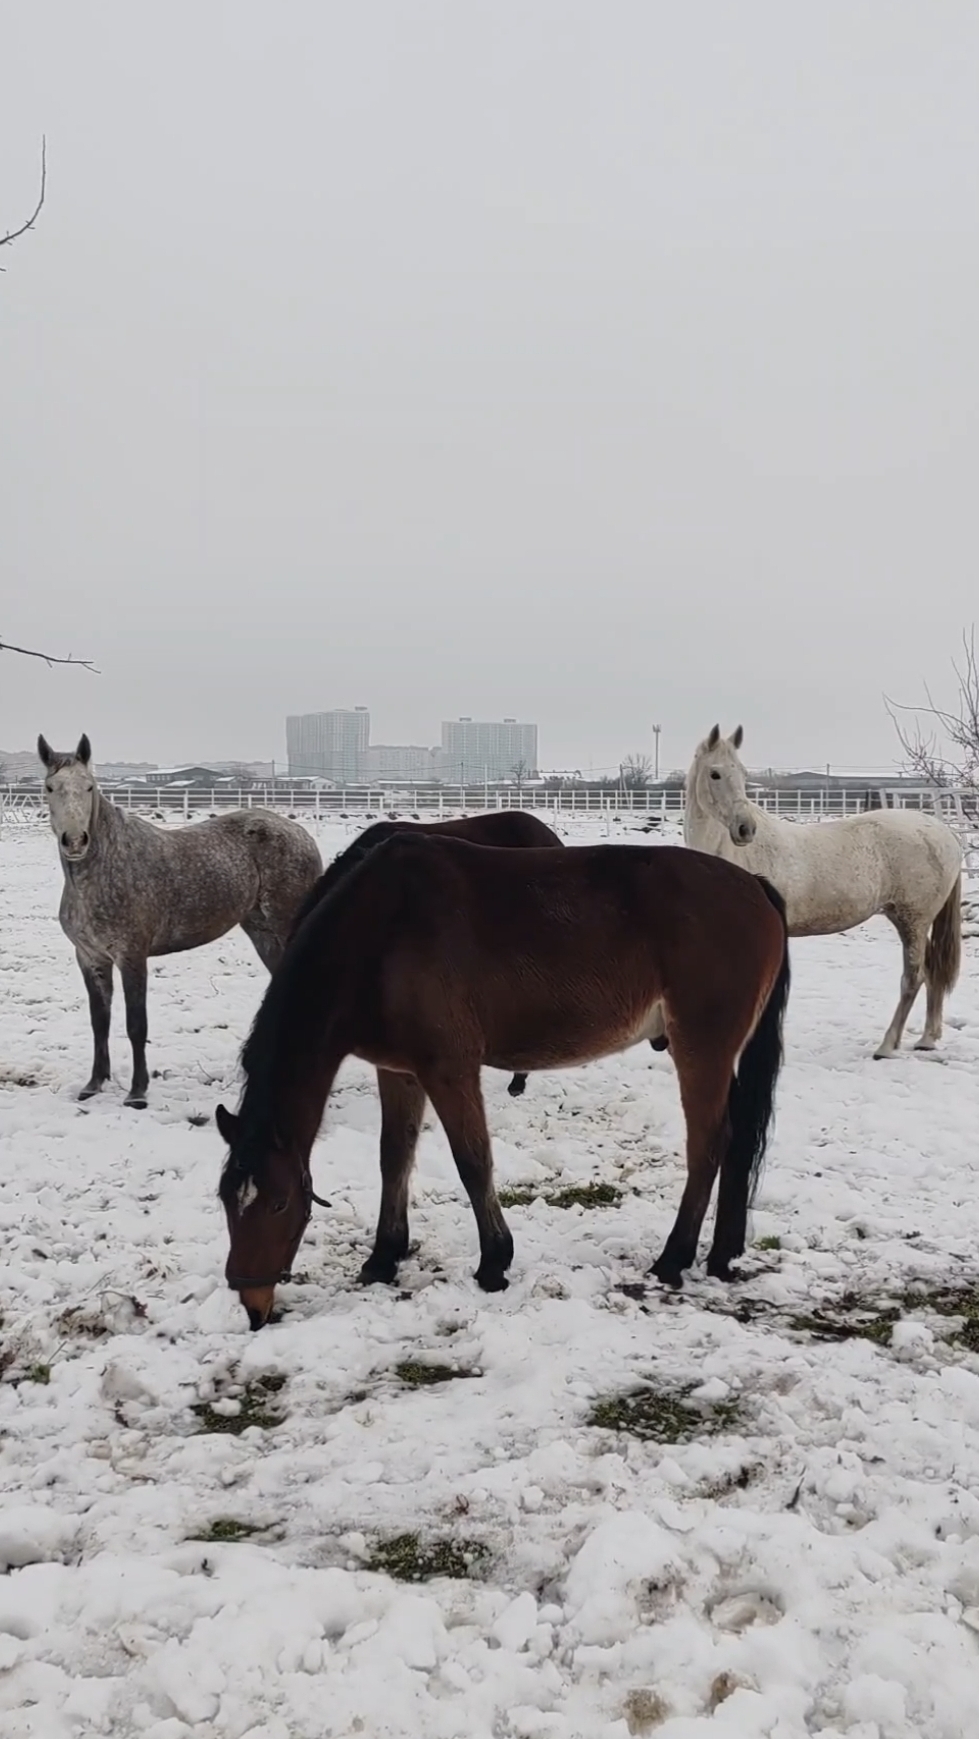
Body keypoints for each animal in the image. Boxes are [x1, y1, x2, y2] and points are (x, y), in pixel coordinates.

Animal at [38, 734, 323, 1107]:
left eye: (89, 787)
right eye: (50, 787)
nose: (74, 841)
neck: (104, 869)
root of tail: (302, 835)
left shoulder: (132, 956)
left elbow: (136, 1024)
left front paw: (137, 1092)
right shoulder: (90, 958)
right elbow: (99, 1022)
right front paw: (94, 1084)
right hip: (263, 934)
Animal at [684, 726, 963, 1058]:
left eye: (741, 773)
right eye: (714, 774)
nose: (745, 829)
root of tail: (941, 831)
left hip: (913, 921)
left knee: (913, 977)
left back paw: (886, 1046)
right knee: (933, 971)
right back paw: (927, 1039)